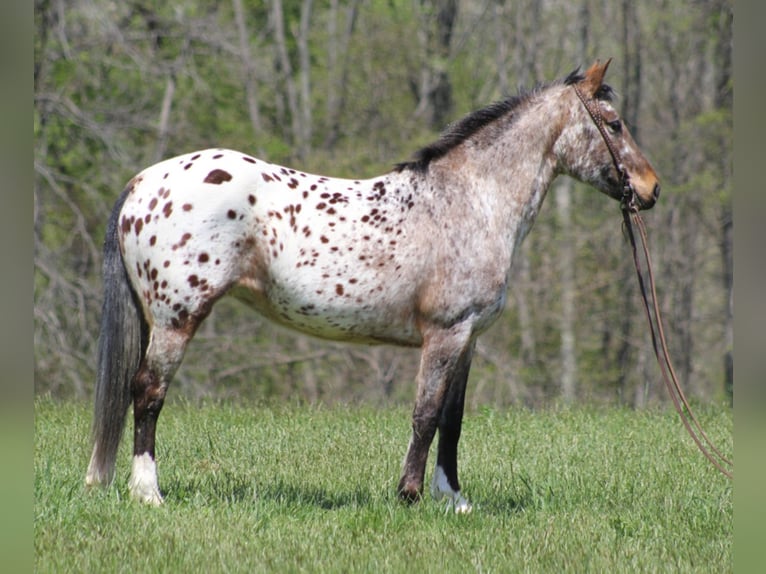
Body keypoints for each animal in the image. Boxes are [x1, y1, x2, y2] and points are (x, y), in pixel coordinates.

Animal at [84, 60, 660, 516]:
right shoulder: (446, 334)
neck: (470, 200)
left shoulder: (468, 339)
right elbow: (426, 415)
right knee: (148, 392)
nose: (651, 189)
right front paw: (409, 496)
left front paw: (454, 499)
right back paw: (148, 493)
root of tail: (141, 183)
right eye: (614, 123)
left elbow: (452, 420)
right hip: (177, 319)